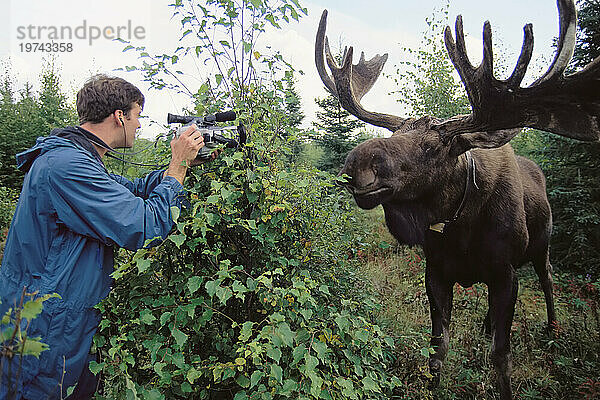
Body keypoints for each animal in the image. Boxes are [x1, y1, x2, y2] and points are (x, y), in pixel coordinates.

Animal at [314, 1, 600, 398]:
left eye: (434, 147)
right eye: (396, 133)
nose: (357, 162)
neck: (461, 226)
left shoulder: (504, 270)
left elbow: (501, 356)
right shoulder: (437, 269)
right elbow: (438, 347)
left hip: (541, 245)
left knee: (548, 280)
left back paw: (553, 327)